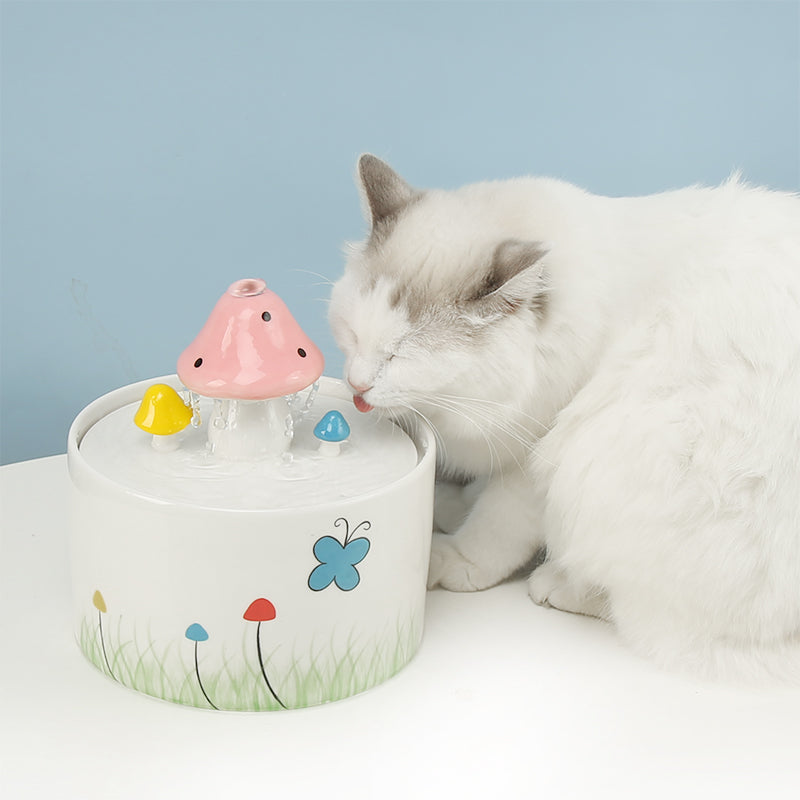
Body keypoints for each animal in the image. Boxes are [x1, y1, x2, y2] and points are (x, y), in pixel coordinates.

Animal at [326, 155, 800, 680]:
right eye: (354, 335)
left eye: (399, 356)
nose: (357, 384)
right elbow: (477, 494)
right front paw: (450, 503)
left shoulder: (536, 458)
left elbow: (495, 526)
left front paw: (453, 556)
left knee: (641, 611)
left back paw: (556, 586)